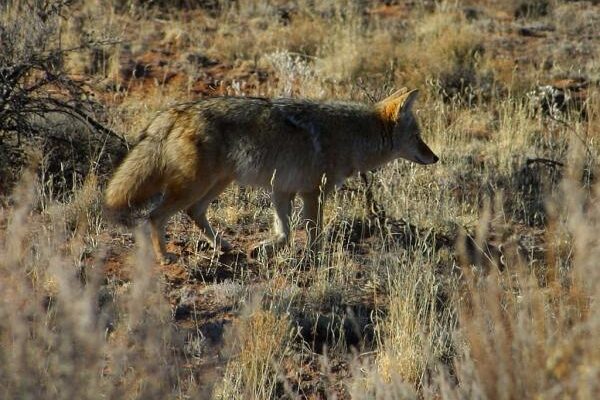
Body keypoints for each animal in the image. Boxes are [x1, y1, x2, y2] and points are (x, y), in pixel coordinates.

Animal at [105, 88, 438, 264]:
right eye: (418, 136)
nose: (435, 157)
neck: (352, 135)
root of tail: (175, 111)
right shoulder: (313, 193)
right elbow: (312, 232)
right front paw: (314, 259)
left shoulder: (282, 190)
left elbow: (285, 232)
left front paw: (263, 249)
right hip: (197, 185)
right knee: (154, 216)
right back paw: (165, 257)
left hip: (217, 183)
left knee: (193, 213)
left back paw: (224, 246)